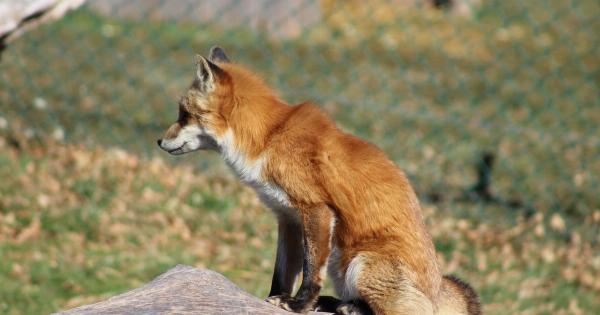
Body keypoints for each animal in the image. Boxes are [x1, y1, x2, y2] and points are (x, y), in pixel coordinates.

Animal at [157, 45, 480, 314]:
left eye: (184, 115)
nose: (159, 141)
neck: (269, 138)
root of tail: (436, 291)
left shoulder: (316, 208)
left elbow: (311, 269)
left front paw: (299, 305)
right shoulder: (287, 216)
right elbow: (283, 273)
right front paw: (274, 299)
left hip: (360, 264)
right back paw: (340, 304)